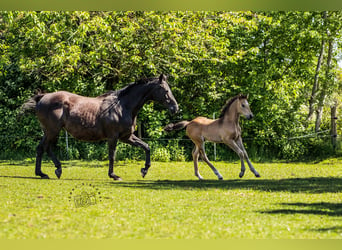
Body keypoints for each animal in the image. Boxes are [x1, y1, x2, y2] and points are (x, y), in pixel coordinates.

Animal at [22, 73, 179, 180]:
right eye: (165, 90)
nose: (175, 108)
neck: (122, 106)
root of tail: (42, 97)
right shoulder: (113, 137)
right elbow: (112, 156)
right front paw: (114, 175)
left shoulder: (127, 137)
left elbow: (146, 147)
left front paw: (144, 170)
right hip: (52, 131)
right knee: (45, 148)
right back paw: (53, 171)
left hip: (49, 132)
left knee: (42, 148)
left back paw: (45, 172)